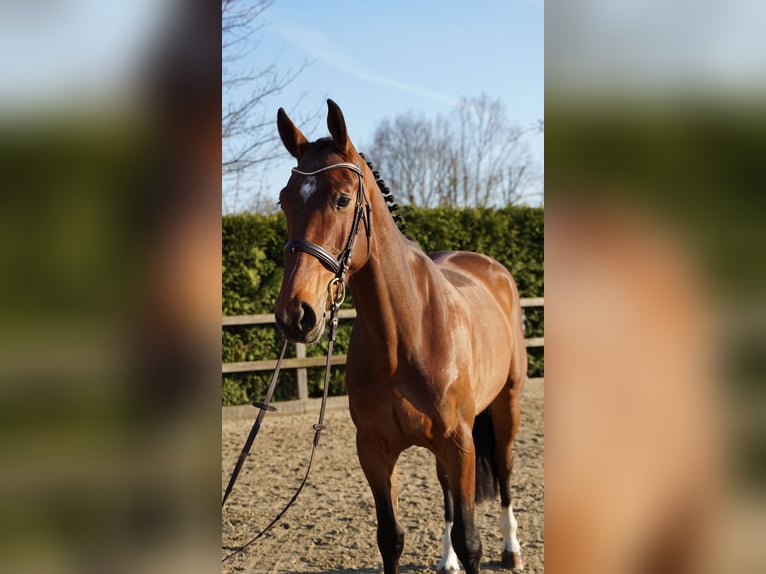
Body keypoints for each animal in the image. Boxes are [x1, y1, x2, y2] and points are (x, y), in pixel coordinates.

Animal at [274, 99, 528, 574]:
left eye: (342, 199)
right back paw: (446, 559)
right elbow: (390, 539)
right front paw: (444, 553)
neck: (404, 336)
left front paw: (477, 549)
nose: (295, 314)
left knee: (504, 470)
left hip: (506, 405)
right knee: (446, 491)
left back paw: (511, 548)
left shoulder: (460, 444)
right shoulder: (374, 451)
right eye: (284, 200)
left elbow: (471, 541)